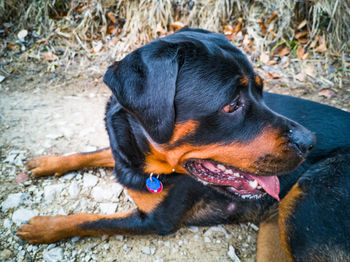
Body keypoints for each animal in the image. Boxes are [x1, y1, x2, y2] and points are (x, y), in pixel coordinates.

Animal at [15, 28, 348, 262]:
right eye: (232, 104)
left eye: (261, 92)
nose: (310, 142)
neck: (147, 161)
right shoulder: (122, 154)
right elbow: (93, 153)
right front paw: (47, 162)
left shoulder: (156, 220)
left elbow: (91, 220)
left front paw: (42, 227)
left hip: (306, 197)